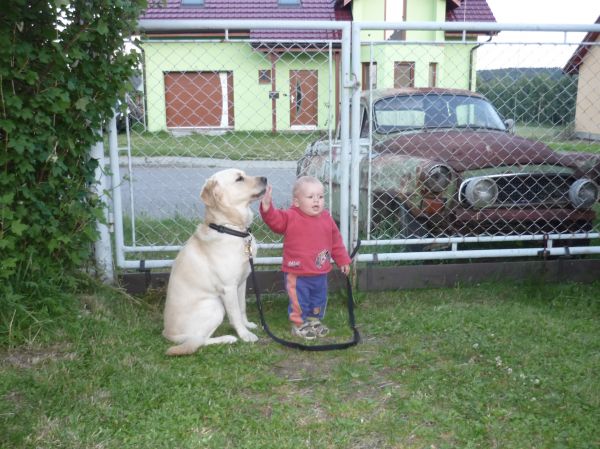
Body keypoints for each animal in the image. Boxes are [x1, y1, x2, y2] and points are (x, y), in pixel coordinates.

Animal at [164, 169, 268, 356]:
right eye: (239, 179)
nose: (265, 178)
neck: (232, 228)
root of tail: (168, 335)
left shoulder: (242, 282)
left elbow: (242, 308)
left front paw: (248, 325)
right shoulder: (229, 288)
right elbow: (235, 315)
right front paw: (244, 335)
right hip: (215, 306)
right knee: (198, 341)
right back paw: (227, 338)